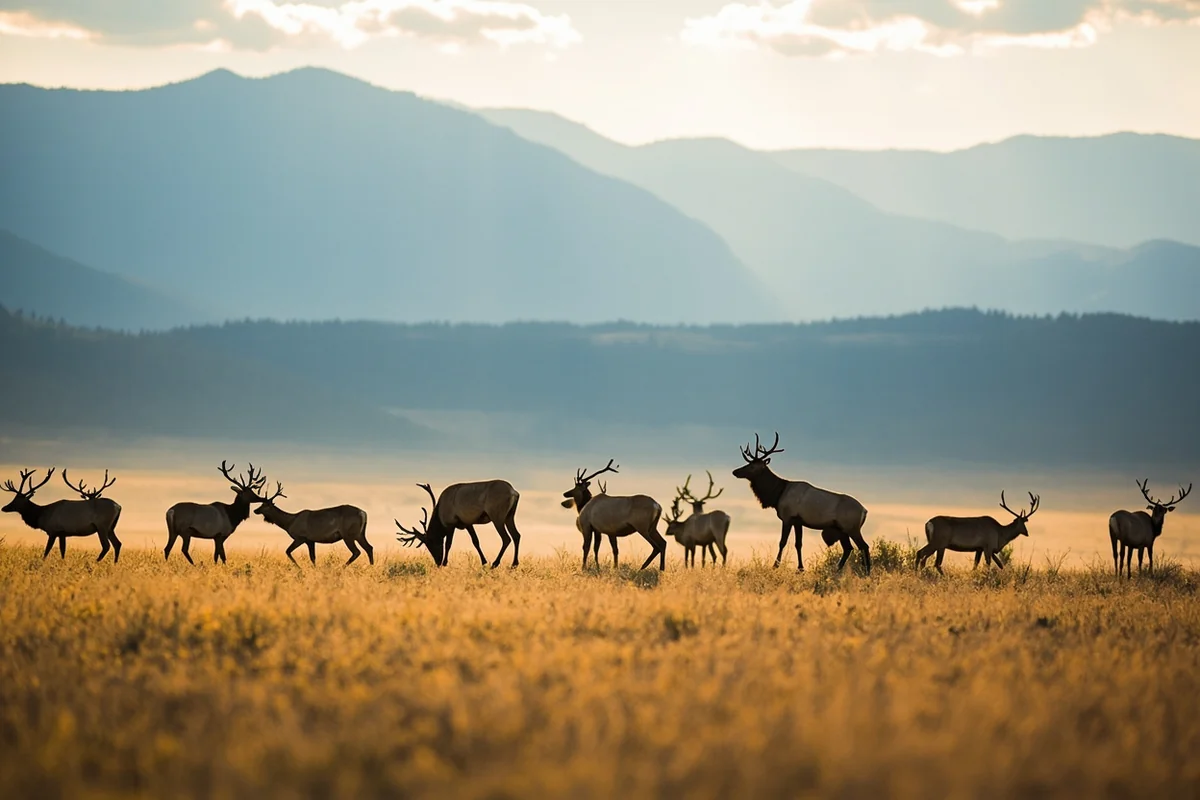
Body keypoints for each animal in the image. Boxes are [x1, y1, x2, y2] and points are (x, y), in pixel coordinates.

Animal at [732, 432, 871, 573]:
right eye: (748, 463)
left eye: (753, 466)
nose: (735, 471)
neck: (777, 494)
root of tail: (864, 511)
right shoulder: (798, 521)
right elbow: (798, 544)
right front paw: (800, 568)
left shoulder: (788, 517)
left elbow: (782, 542)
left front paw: (775, 566)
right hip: (842, 529)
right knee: (848, 548)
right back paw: (837, 570)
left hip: (851, 527)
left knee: (863, 546)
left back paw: (866, 572)